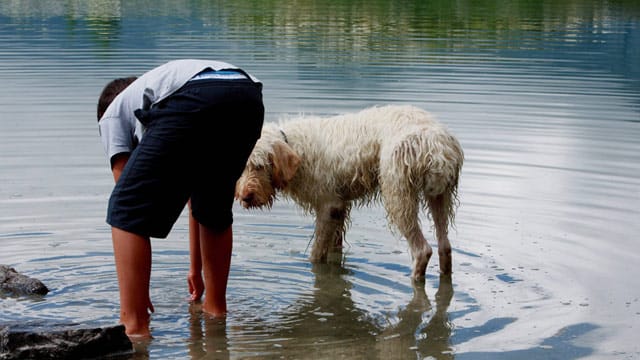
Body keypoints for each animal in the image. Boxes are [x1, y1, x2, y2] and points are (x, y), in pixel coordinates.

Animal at [235, 105, 464, 280]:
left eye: (259, 166)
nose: (245, 197)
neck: (295, 146)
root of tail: (436, 145)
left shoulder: (328, 206)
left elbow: (316, 252)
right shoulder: (340, 208)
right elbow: (335, 249)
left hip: (398, 196)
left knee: (422, 249)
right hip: (439, 196)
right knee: (445, 246)